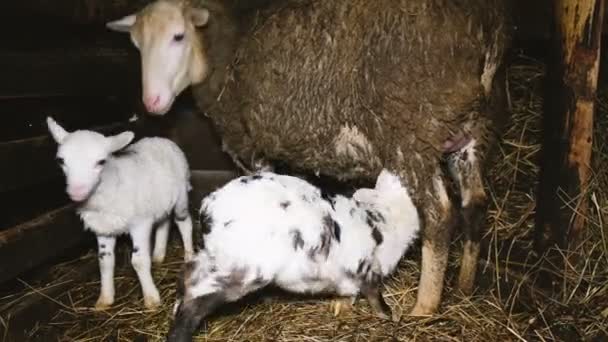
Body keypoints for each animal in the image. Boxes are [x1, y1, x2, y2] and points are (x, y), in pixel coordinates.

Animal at [47, 117, 195, 310]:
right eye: (61, 160)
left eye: (101, 161)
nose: (76, 192)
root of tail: (161, 138)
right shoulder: (102, 228)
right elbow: (105, 262)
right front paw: (104, 299)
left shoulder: (140, 223)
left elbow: (138, 261)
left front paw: (151, 299)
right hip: (158, 199)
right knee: (164, 221)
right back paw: (158, 255)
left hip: (181, 194)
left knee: (184, 222)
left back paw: (189, 256)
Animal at [107, 0, 510, 316]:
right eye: (137, 46)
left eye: (178, 36)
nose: (152, 103)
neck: (224, 49)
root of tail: (483, 30)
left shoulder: (249, 145)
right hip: (472, 131)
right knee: (475, 205)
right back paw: (465, 285)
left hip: (415, 130)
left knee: (440, 215)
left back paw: (424, 307)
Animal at [169, 170, 420, 340]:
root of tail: (208, 210)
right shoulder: (366, 268)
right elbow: (375, 295)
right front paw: (389, 316)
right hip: (239, 271)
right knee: (194, 294)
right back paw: (180, 333)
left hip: (215, 259)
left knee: (187, 275)